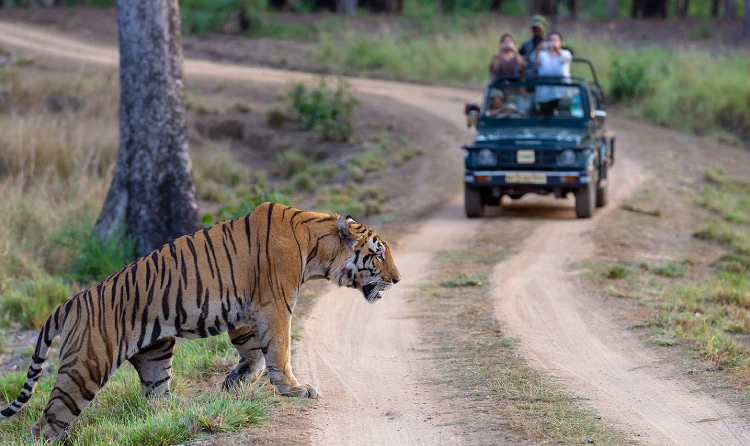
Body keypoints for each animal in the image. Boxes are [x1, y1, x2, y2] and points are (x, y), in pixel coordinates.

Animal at [0, 204, 402, 440]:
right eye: (379, 254)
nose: (398, 280)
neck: (319, 248)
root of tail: (71, 302)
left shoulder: (245, 312)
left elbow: (255, 355)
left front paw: (233, 384)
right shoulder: (275, 306)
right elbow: (279, 352)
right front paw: (295, 389)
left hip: (155, 353)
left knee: (155, 398)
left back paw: (180, 413)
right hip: (86, 367)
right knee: (48, 420)